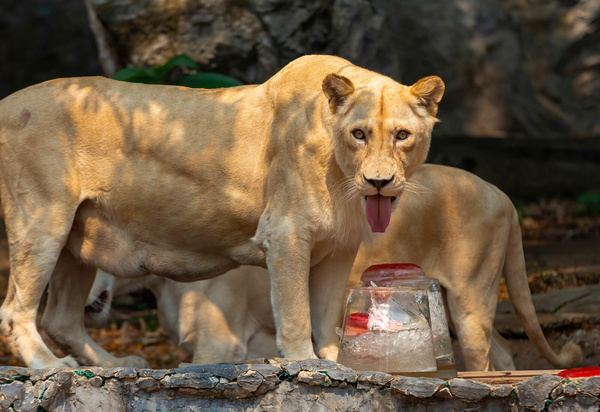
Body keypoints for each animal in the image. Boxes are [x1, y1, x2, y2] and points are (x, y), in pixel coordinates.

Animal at [0, 54, 442, 366]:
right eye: (359, 134)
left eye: (402, 135)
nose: (379, 181)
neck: (342, 177)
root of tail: (7, 101)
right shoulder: (285, 232)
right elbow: (296, 309)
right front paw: (305, 362)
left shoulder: (338, 247)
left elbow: (328, 312)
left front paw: (339, 364)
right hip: (43, 220)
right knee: (16, 310)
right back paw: (49, 367)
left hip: (79, 238)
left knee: (60, 318)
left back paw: (110, 364)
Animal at [84, 164, 580, 370]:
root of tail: (505, 196)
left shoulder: (220, 344)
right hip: (464, 303)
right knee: (504, 352)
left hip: (468, 298)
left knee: (482, 360)